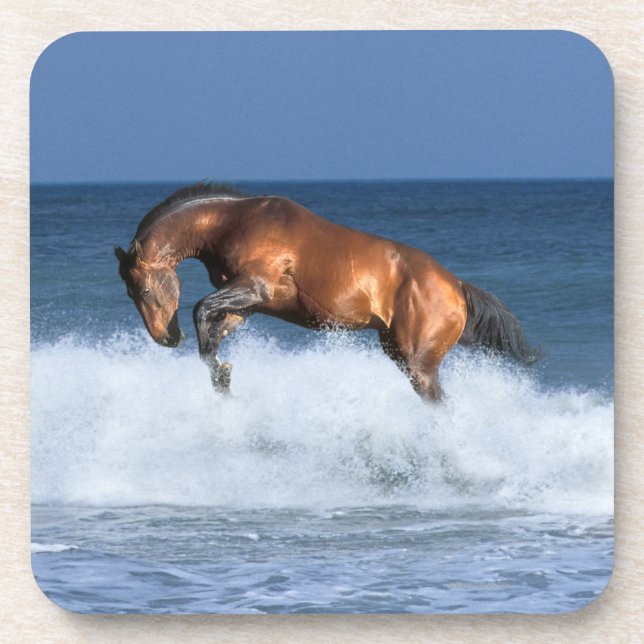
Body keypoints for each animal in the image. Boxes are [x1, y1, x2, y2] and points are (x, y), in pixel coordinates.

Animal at [115, 182, 538, 401]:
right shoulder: (246, 305)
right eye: (130, 294)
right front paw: (222, 377)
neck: (233, 222)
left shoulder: (254, 288)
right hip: (398, 352)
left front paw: (220, 373)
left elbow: (200, 310)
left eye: (145, 289)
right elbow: (212, 334)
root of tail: (456, 286)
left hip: (419, 364)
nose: (166, 338)